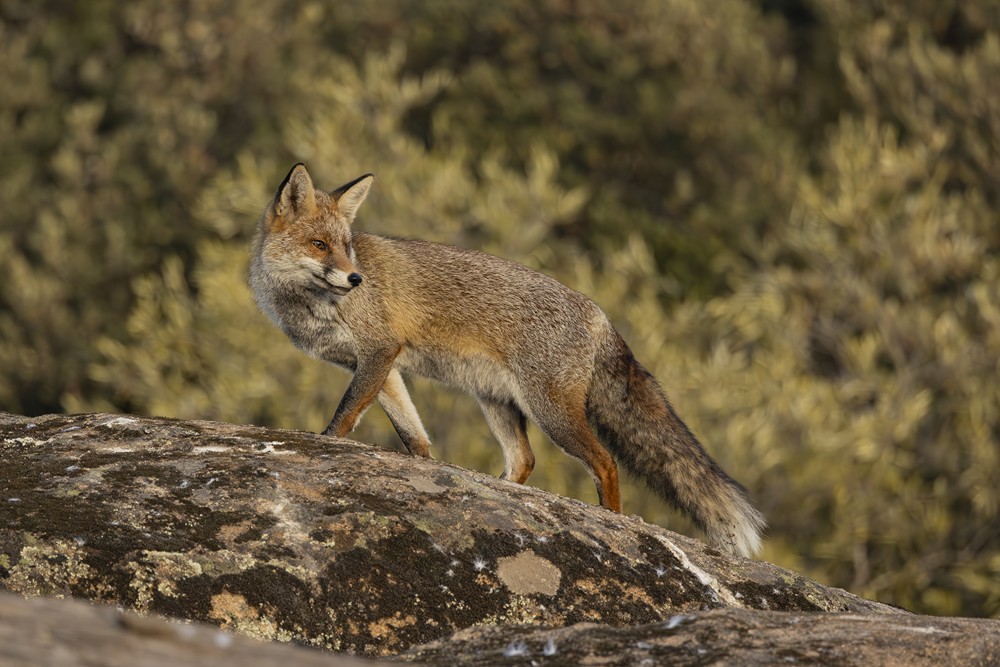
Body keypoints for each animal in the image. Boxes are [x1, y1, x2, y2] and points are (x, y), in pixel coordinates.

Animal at [249, 163, 766, 557]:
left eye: (347, 247)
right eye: (320, 245)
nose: (355, 279)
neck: (308, 305)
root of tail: (600, 314)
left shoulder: (378, 351)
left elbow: (344, 417)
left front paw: (324, 446)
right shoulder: (385, 368)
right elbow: (414, 435)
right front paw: (421, 467)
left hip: (552, 413)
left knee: (604, 462)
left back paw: (611, 520)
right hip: (498, 404)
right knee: (524, 461)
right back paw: (507, 494)